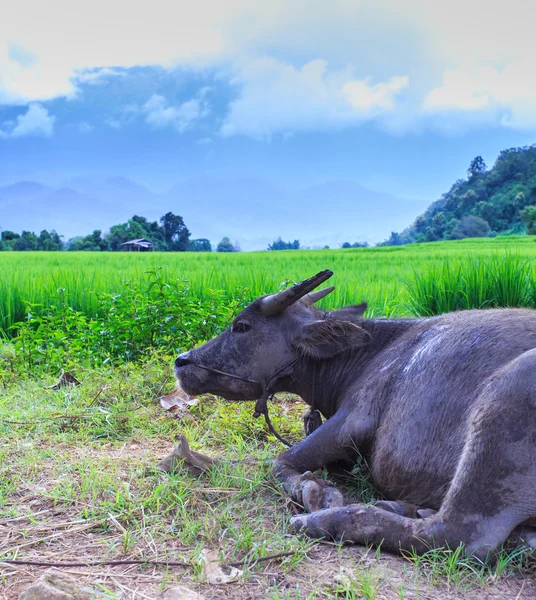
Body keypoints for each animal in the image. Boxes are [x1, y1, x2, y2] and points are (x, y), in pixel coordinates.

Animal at [175, 270, 536, 560]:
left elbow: (281, 461)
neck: (371, 351)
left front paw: (318, 493)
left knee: (458, 538)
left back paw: (324, 521)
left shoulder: (353, 418)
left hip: (503, 403)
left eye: (242, 326)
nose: (182, 361)